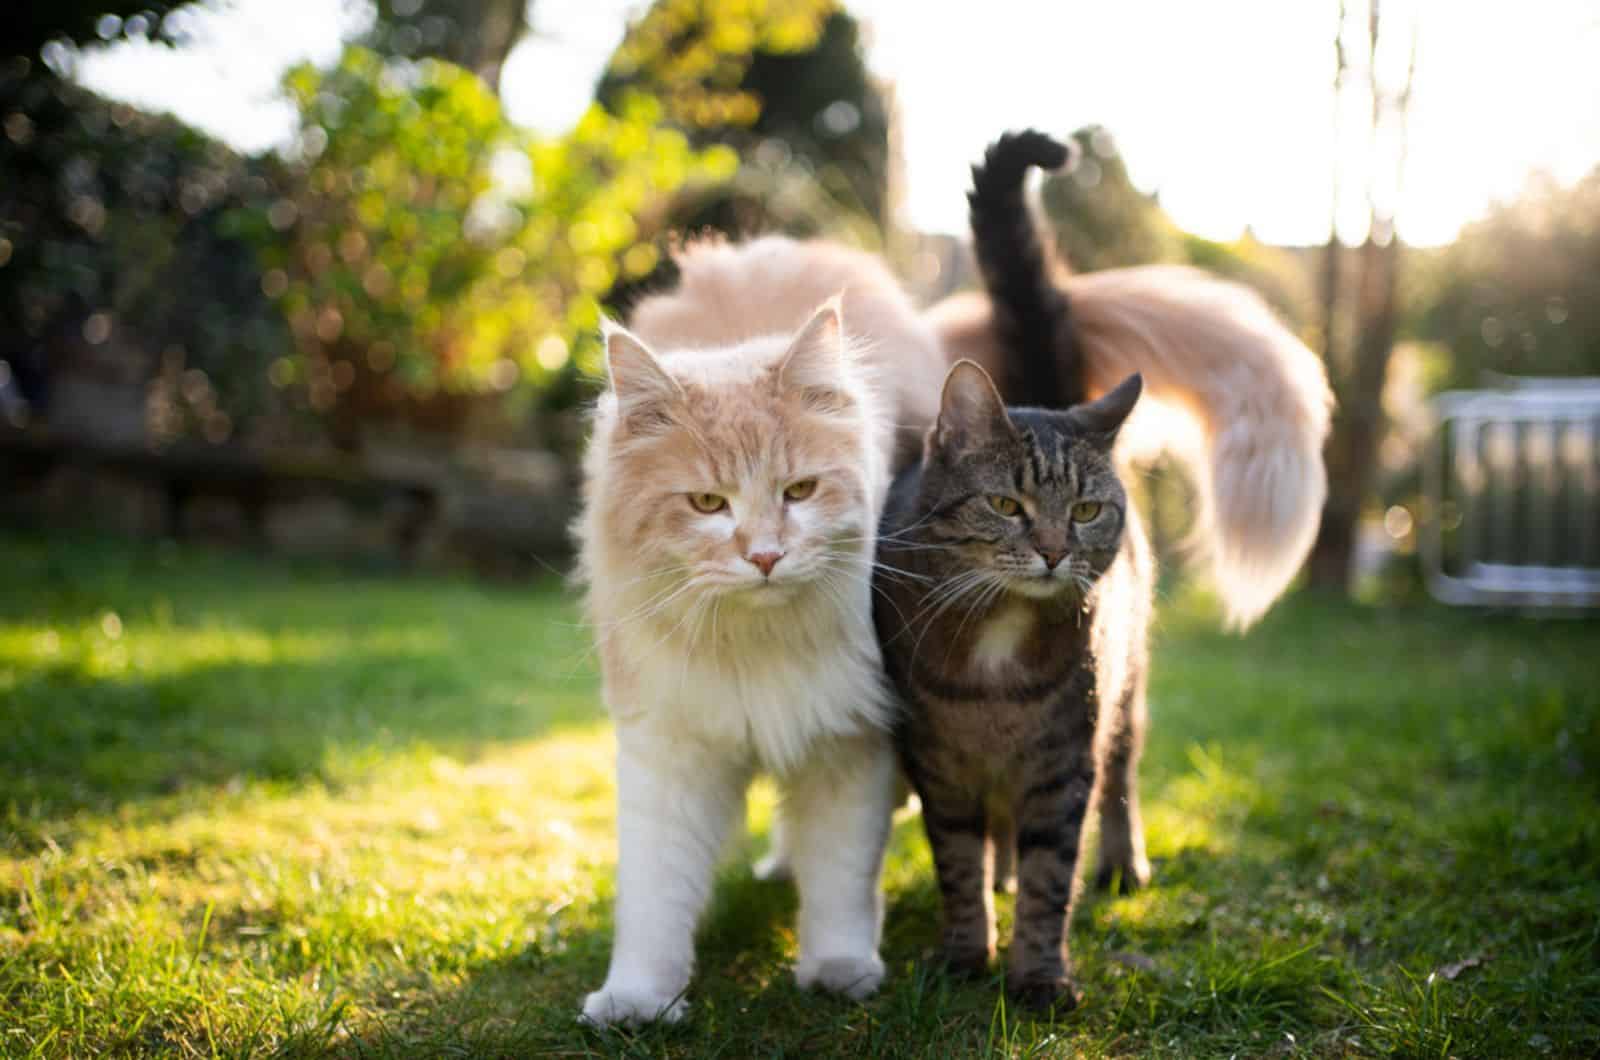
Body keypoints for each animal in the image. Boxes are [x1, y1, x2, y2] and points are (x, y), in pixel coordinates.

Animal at [576, 236, 940, 1024]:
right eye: (707, 504)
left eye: (799, 491)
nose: (766, 556)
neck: (754, 645)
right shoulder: (669, 751)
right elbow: (653, 898)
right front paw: (637, 1000)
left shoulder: (849, 741)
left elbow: (840, 881)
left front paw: (838, 971)